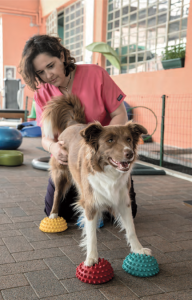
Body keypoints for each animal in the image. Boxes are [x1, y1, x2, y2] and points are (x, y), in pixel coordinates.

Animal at [42, 95, 152, 266]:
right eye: (110, 140)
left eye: (128, 139)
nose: (129, 153)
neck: (109, 172)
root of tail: (73, 123)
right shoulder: (90, 203)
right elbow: (92, 235)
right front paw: (92, 258)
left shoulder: (124, 201)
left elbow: (131, 229)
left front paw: (138, 250)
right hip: (60, 172)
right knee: (57, 194)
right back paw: (53, 215)